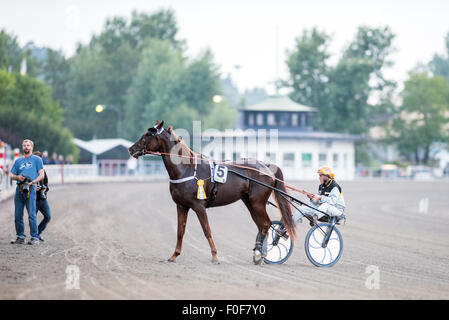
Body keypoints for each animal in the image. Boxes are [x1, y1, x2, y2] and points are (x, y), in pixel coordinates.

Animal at [128, 121, 296, 264]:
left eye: (148, 135)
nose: (131, 149)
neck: (187, 169)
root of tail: (267, 166)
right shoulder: (181, 206)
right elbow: (180, 231)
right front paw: (174, 255)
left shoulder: (199, 206)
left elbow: (207, 230)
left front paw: (215, 256)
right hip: (249, 202)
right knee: (262, 226)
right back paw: (259, 254)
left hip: (258, 203)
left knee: (266, 224)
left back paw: (259, 254)